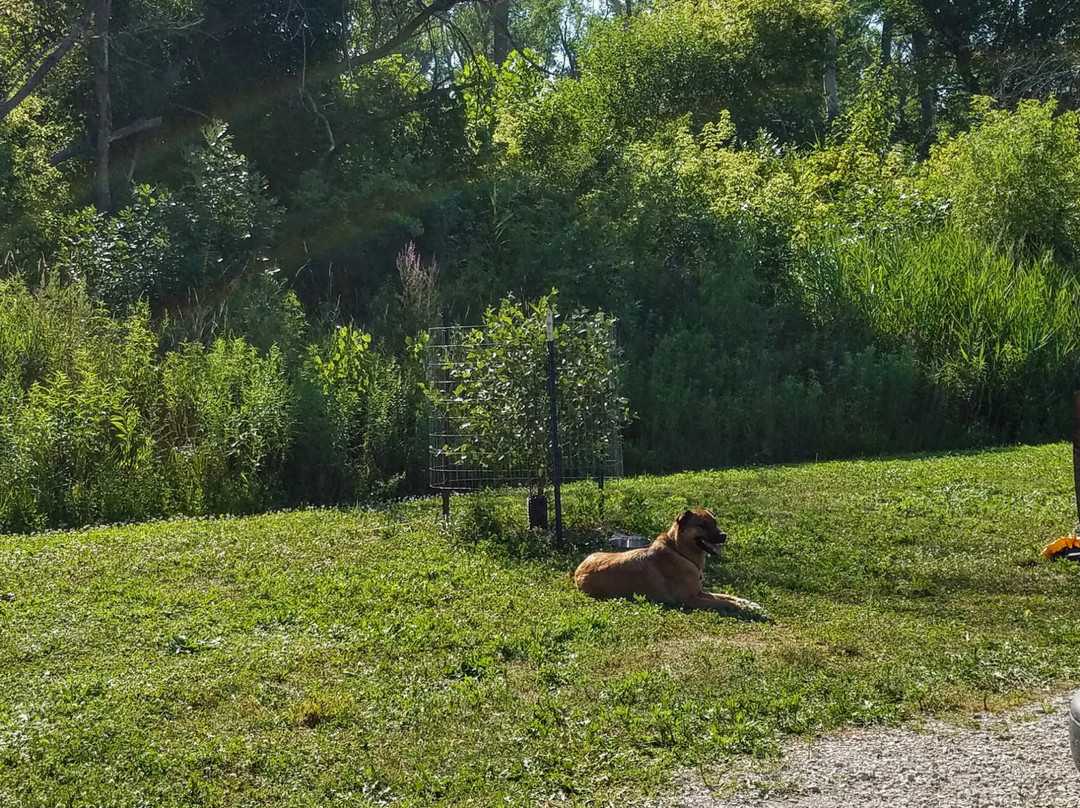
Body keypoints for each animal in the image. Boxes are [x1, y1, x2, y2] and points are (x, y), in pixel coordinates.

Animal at [574, 512, 768, 617]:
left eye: (715, 522)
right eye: (702, 525)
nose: (723, 536)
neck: (679, 551)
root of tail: (578, 569)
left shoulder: (699, 592)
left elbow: (726, 596)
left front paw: (749, 603)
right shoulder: (691, 599)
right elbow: (722, 602)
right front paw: (743, 608)